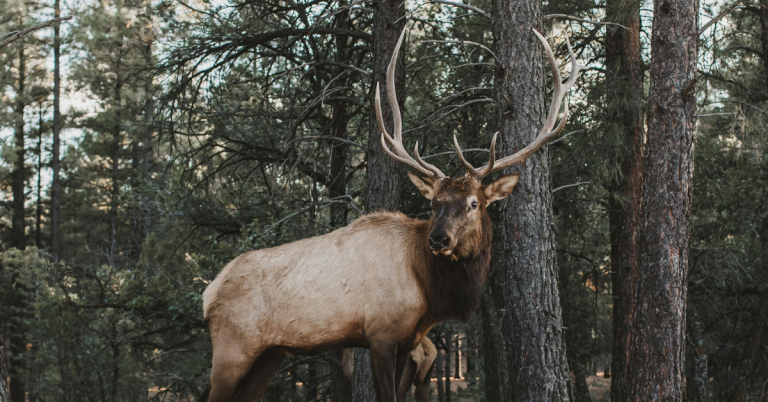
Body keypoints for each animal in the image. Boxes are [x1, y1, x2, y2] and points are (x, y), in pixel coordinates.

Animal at [200, 28, 584, 402]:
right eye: (434, 204)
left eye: (474, 203)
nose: (438, 239)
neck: (428, 290)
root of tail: (209, 293)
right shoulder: (380, 334)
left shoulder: (407, 341)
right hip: (232, 348)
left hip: (271, 352)